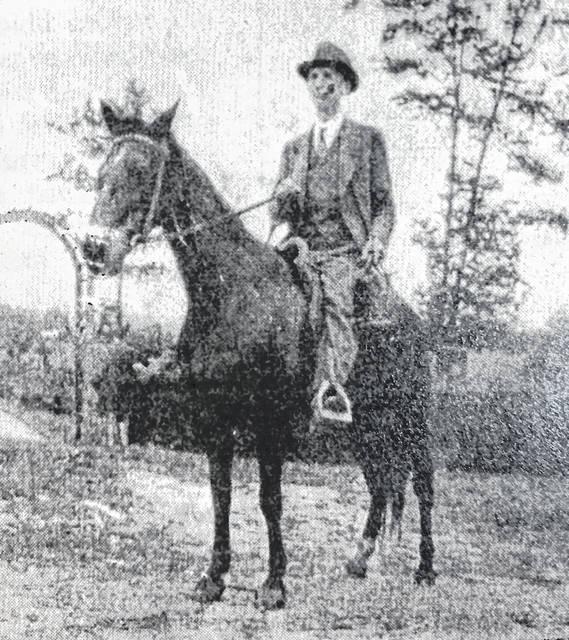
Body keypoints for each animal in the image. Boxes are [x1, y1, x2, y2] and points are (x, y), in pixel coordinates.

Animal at [81, 101, 436, 610]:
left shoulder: (270, 421)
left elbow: (270, 498)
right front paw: (213, 577)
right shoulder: (214, 416)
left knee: (423, 482)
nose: (93, 248)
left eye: (141, 170)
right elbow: (222, 494)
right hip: (365, 424)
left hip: (412, 417)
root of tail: (411, 320)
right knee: (380, 482)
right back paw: (361, 558)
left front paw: (274, 583)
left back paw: (425, 567)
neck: (235, 293)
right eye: (101, 172)